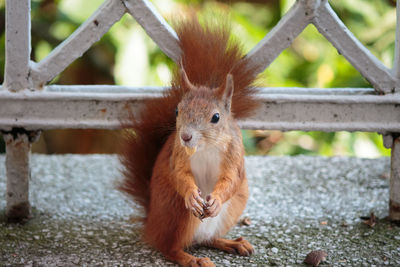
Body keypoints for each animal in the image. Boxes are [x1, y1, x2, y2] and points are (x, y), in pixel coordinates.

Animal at [119, 15, 260, 267]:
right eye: (177, 111)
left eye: (216, 117)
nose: (185, 136)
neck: (205, 148)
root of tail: (152, 224)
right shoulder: (178, 154)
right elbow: (180, 175)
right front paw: (193, 195)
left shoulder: (235, 154)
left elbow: (232, 179)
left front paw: (216, 199)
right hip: (179, 214)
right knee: (170, 248)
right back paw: (193, 259)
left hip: (230, 211)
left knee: (208, 239)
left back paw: (232, 243)